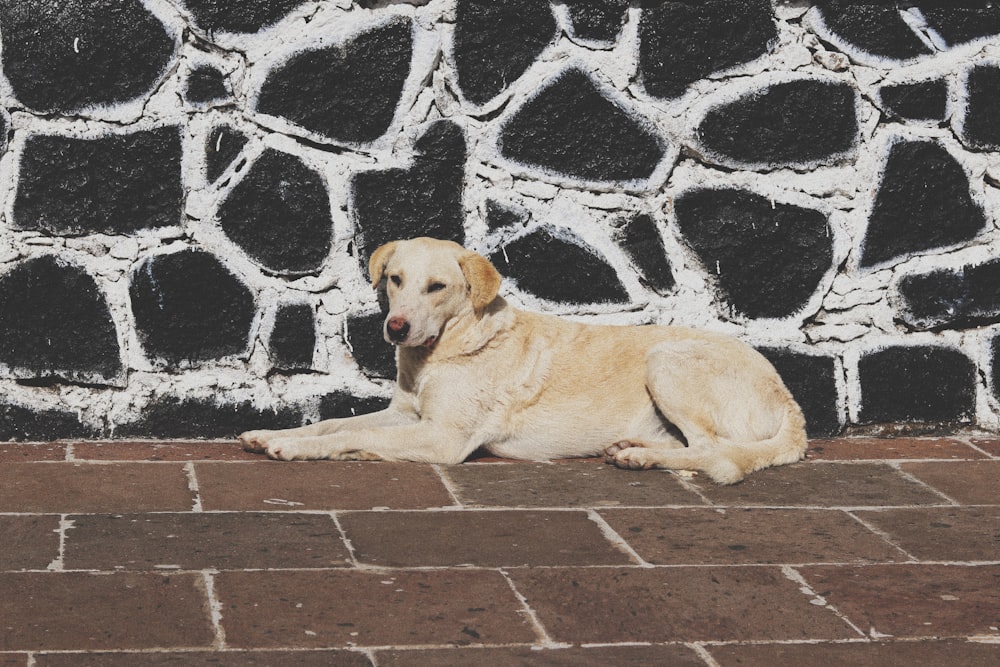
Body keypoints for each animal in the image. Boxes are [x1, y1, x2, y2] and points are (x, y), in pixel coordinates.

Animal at [240, 237, 804, 482]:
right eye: (395, 279)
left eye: (437, 287)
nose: (395, 328)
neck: (444, 350)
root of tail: (789, 399)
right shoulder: (405, 414)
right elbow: (333, 422)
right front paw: (272, 434)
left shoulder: (442, 438)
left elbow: (350, 437)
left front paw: (299, 450)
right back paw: (633, 445)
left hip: (667, 360)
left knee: (712, 449)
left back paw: (642, 458)